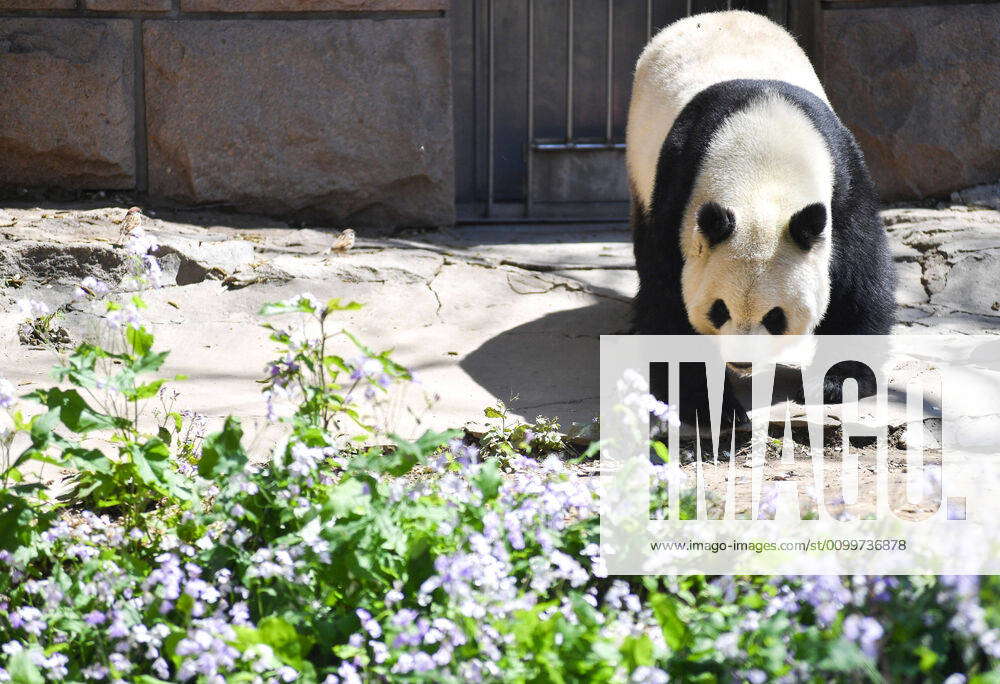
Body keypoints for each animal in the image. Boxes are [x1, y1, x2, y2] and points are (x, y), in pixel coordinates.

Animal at [624, 9, 900, 428]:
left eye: (775, 317)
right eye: (719, 309)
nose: (742, 362)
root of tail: (714, 15)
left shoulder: (844, 180)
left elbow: (859, 277)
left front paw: (836, 382)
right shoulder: (678, 190)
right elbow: (668, 292)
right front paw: (709, 406)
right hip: (641, 167)